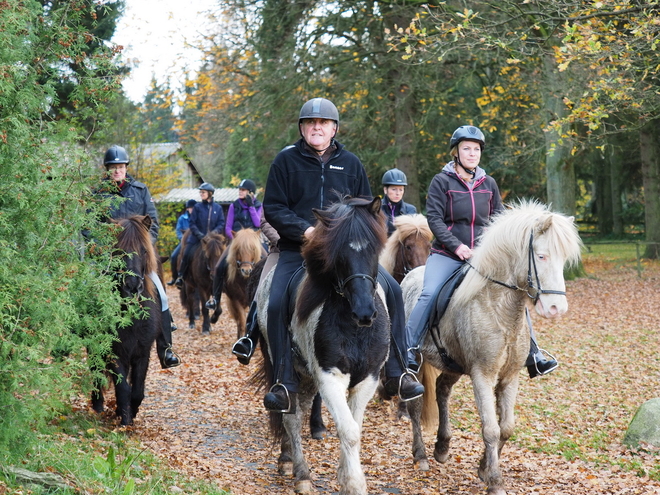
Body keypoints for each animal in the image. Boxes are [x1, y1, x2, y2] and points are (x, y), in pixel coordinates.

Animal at [92, 215, 162, 428]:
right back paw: (97, 405)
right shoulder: (115, 351)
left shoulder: (143, 352)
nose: (132, 287)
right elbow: (123, 387)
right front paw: (124, 420)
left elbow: (137, 390)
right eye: (118, 250)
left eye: (144, 250)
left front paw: (132, 412)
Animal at [256, 196, 392, 494]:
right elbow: (348, 430)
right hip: (287, 370)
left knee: (300, 410)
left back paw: (288, 459)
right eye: (338, 254)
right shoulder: (330, 378)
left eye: (374, 249)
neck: (353, 327)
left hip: (305, 375)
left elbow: (354, 427)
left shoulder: (367, 379)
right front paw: (353, 484)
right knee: (290, 417)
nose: (365, 312)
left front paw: (345, 475)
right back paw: (301, 474)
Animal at [402, 202, 584, 495]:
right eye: (542, 256)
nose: (557, 309)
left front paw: (484, 469)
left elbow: (506, 427)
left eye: (564, 259)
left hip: (452, 364)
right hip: (417, 366)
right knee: (416, 406)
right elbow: (491, 429)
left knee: (442, 390)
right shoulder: (482, 376)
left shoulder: (510, 377)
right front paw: (495, 481)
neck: (498, 306)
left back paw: (442, 447)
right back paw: (421, 457)